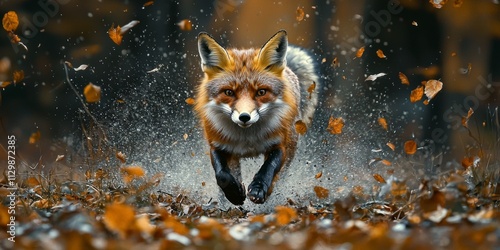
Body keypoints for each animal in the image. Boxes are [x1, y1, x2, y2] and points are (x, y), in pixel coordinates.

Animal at [193, 29, 318, 205]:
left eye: (261, 92)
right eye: (229, 92)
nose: (244, 117)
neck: (248, 139)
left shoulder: (279, 144)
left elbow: (268, 170)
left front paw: (259, 190)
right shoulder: (217, 145)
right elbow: (223, 176)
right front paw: (235, 194)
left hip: (291, 146)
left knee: (280, 176)